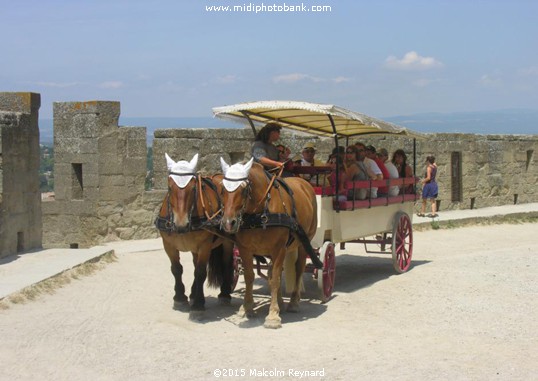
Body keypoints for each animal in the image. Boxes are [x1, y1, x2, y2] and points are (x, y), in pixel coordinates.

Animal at [153, 153, 232, 314]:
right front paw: (180, 297)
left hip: (227, 241)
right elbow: (176, 269)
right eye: (169, 187)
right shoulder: (168, 245)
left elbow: (201, 272)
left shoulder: (205, 246)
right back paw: (192, 293)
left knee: (226, 263)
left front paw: (198, 304)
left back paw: (225, 293)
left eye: (193, 187)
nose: (181, 224)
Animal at [218, 156, 318, 328]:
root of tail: (303, 183)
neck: (259, 214)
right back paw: (280, 302)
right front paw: (247, 308)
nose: (228, 223)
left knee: (298, 268)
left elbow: (276, 278)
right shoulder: (245, 249)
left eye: (244, 189)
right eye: (223, 189)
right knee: (272, 272)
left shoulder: (279, 249)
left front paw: (272, 316)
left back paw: (293, 302)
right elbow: (250, 276)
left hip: (303, 242)